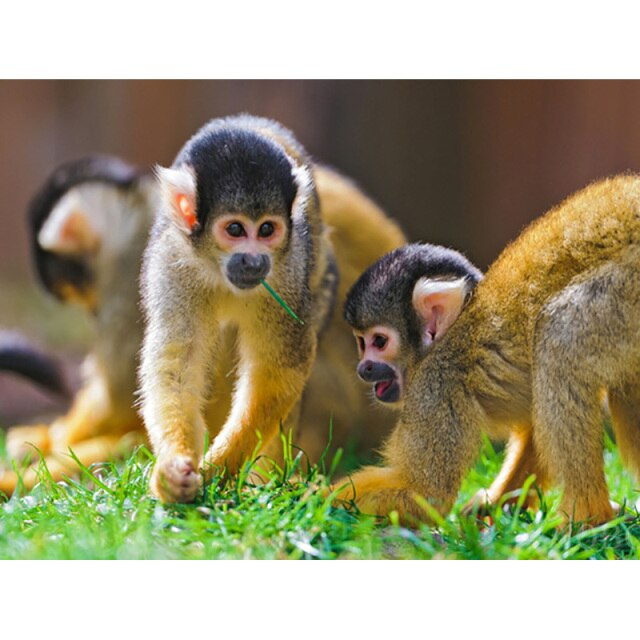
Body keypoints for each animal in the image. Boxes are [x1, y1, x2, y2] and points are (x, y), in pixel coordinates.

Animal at [338, 174, 640, 527]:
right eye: (361, 342)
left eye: (379, 342)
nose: (364, 368)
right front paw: (497, 503)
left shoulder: (437, 384)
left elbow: (424, 492)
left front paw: (312, 494)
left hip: (629, 292)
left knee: (560, 336)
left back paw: (586, 516)